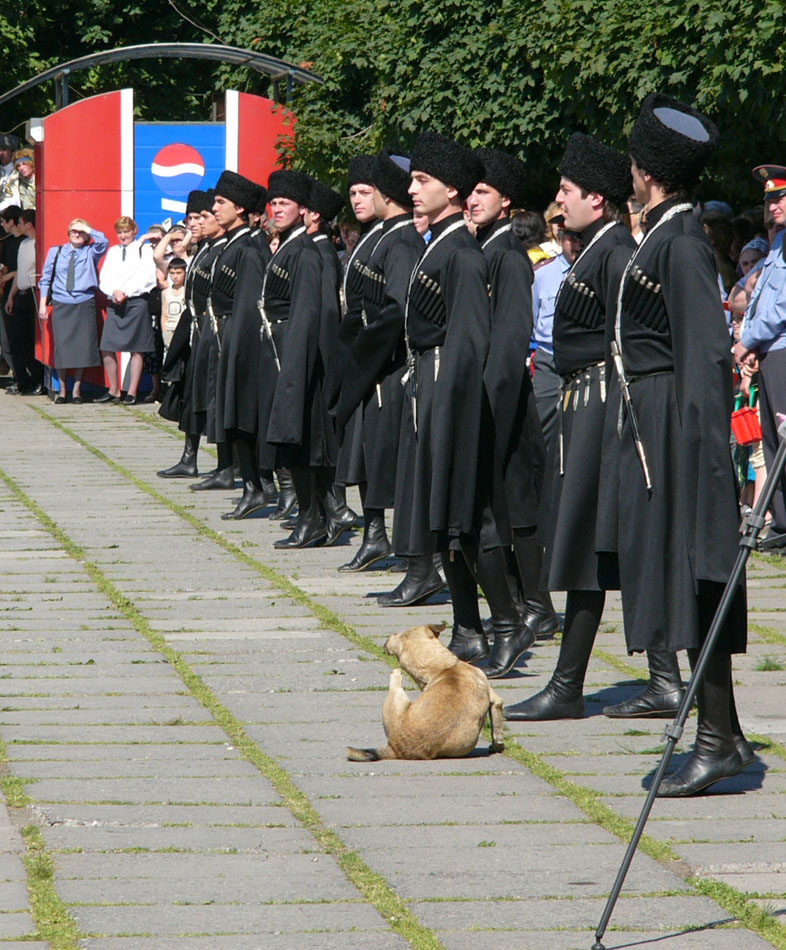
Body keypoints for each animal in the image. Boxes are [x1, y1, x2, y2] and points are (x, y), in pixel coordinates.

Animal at [346, 624, 506, 768]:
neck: (444, 668)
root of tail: (395, 748)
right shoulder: (495, 701)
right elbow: (497, 728)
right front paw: (497, 746)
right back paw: (397, 675)